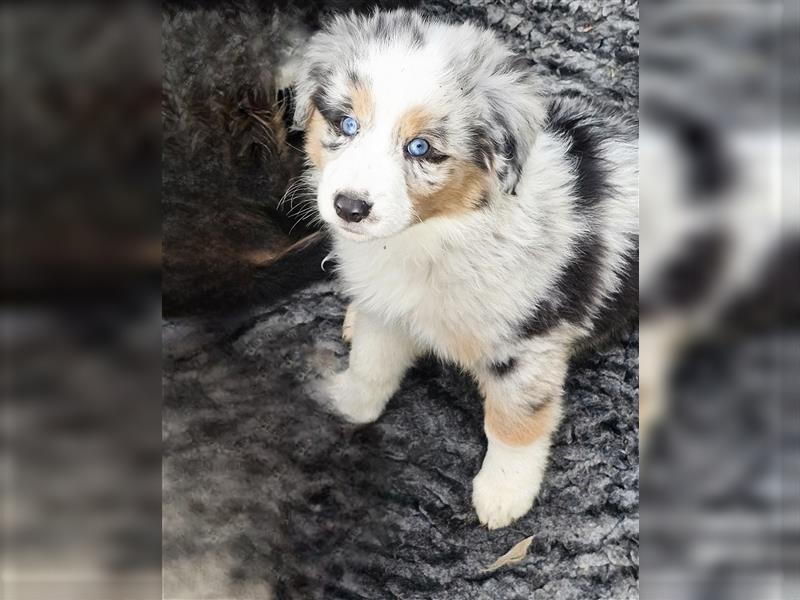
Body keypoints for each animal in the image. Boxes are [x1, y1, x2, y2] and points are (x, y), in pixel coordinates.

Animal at [292, 8, 636, 524]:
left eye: (420, 148)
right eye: (347, 124)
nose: (349, 207)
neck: (433, 234)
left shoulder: (527, 344)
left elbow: (514, 422)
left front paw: (503, 494)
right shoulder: (386, 309)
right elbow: (371, 366)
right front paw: (346, 403)